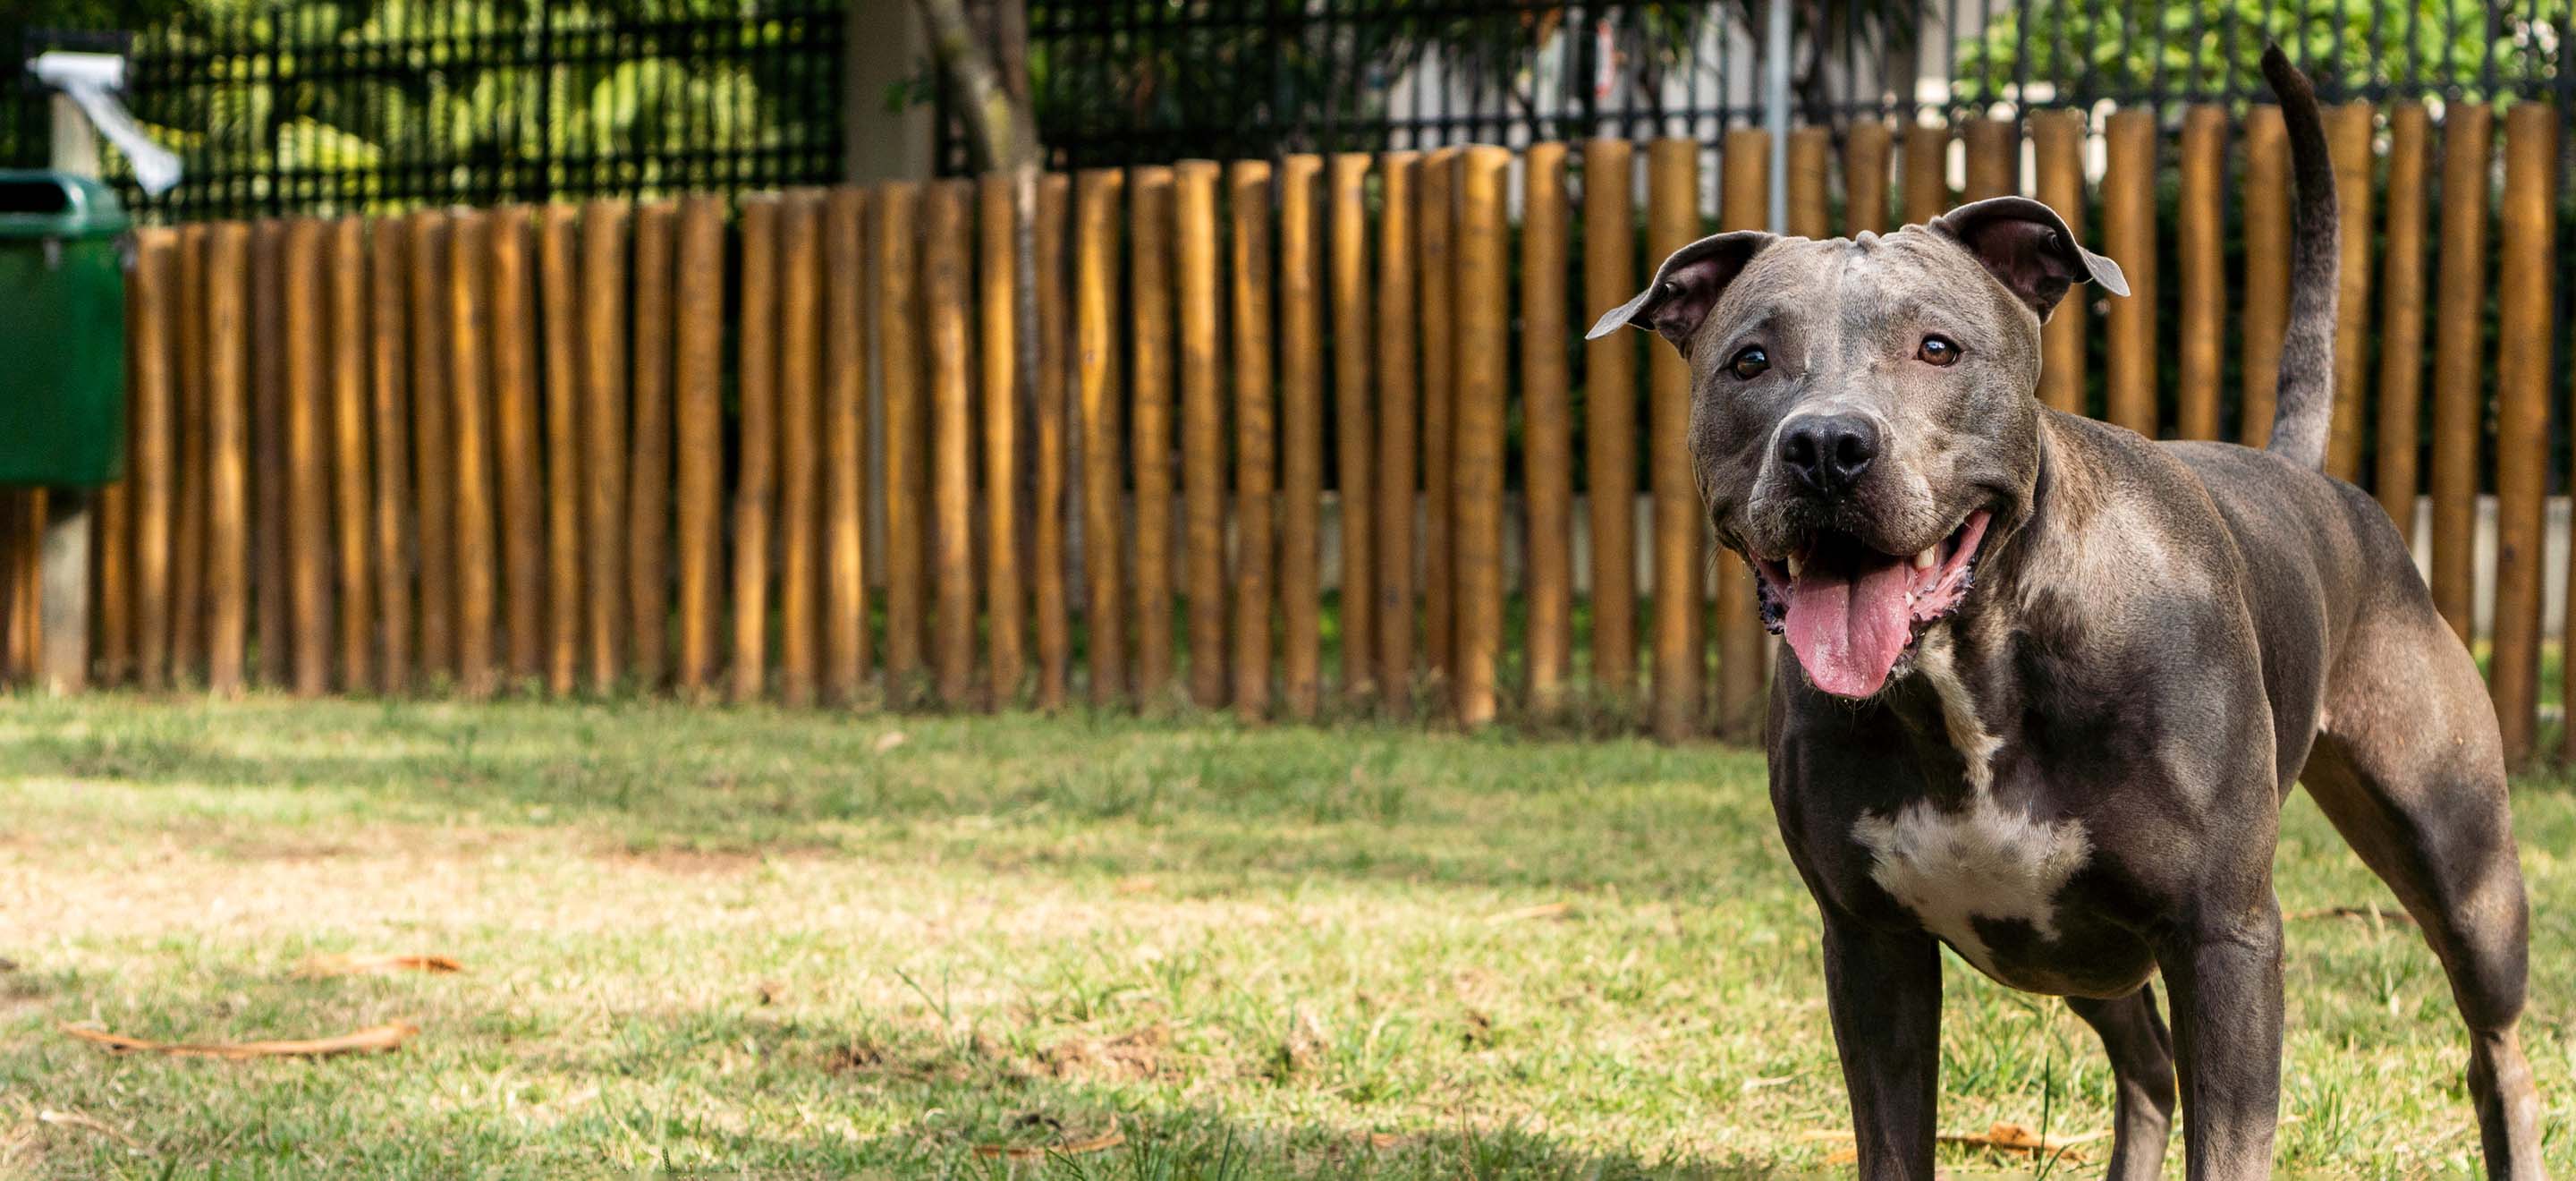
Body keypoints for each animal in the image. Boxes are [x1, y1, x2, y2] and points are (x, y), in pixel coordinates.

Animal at [1587, 48, 2534, 1181]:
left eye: (1938, 349)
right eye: (1749, 362)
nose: (1826, 447)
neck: (1975, 667)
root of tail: (2307, 479)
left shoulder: (2225, 941)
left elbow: (2232, 1143)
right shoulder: (1871, 949)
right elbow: (1895, 1140)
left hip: (2462, 872)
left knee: (2495, 1047)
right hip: (2080, 958)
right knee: (2149, 1066)